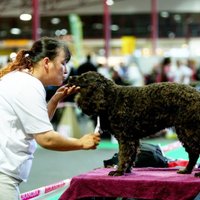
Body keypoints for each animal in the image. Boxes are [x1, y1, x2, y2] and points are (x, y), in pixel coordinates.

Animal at [68, 71, 200, 177]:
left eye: (83, 78)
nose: (69, 77)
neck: (112, 99)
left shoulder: (125, 138)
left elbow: (122, 156)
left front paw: (118, 171)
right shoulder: (133, 139)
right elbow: (130, 157)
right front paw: (126, 170)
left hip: (189, 130)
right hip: (184, 131)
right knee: (193, 154)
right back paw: (187, 170)